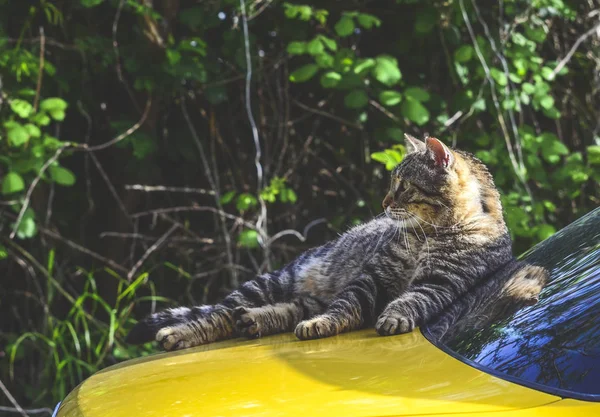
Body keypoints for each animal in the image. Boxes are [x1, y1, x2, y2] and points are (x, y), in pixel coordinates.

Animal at [126, 135, 516, 350]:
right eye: (392, 183)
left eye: (403, 185)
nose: (384, 203)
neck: (429, 233)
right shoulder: (372, 276)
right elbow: (347, 305)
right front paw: (327, 323)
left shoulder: (442, 283)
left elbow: (412, 299)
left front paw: (393, 316)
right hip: (268, 282)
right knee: (217, 315)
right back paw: (179, 332)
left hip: (295, 297)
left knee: (281, 311)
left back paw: (255, 321)